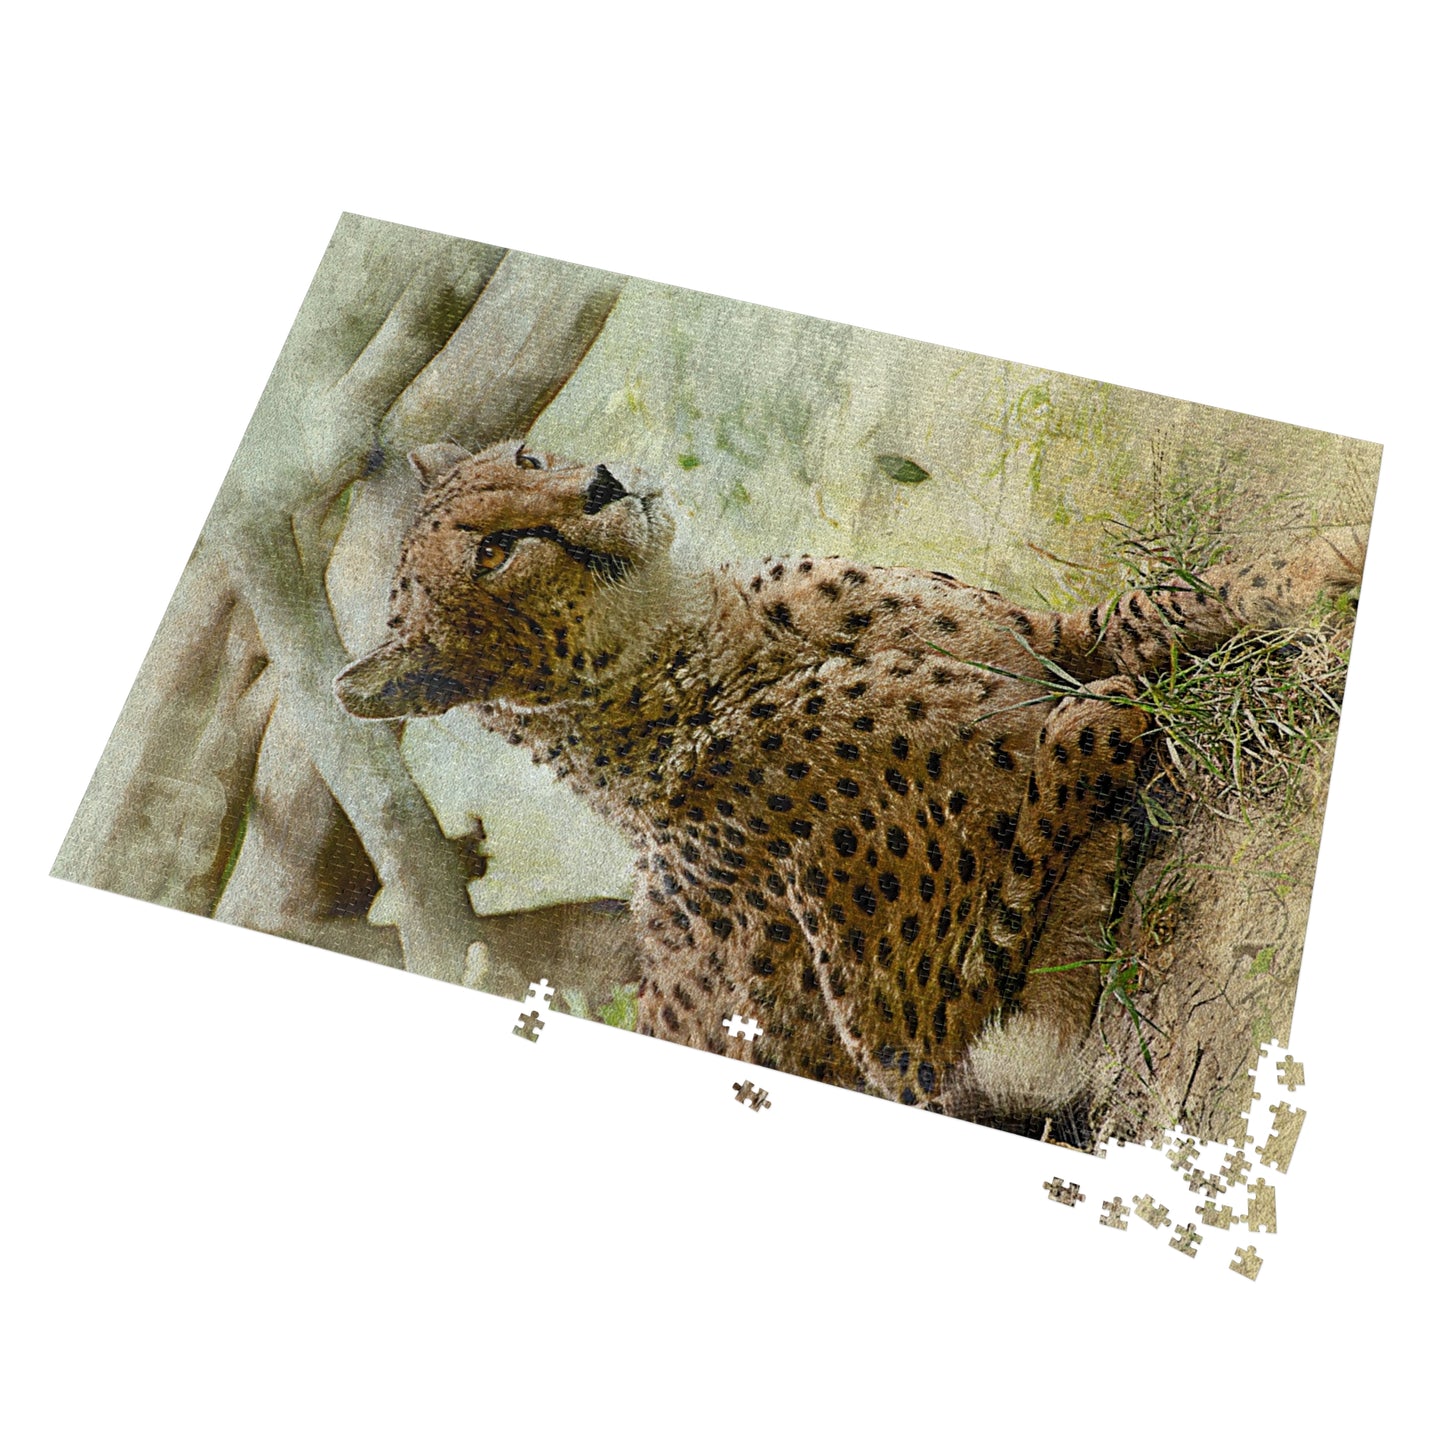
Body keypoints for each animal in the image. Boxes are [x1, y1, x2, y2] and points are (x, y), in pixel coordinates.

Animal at [335, 438, 1366, 1121]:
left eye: (527, 452)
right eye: (491, 554)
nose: (603, 484)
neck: (695, 641)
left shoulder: (1048, 641)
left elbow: (1173, 598)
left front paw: (1333, 558)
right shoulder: (917, 1054)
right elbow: (1057, 787)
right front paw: (1099, 736)